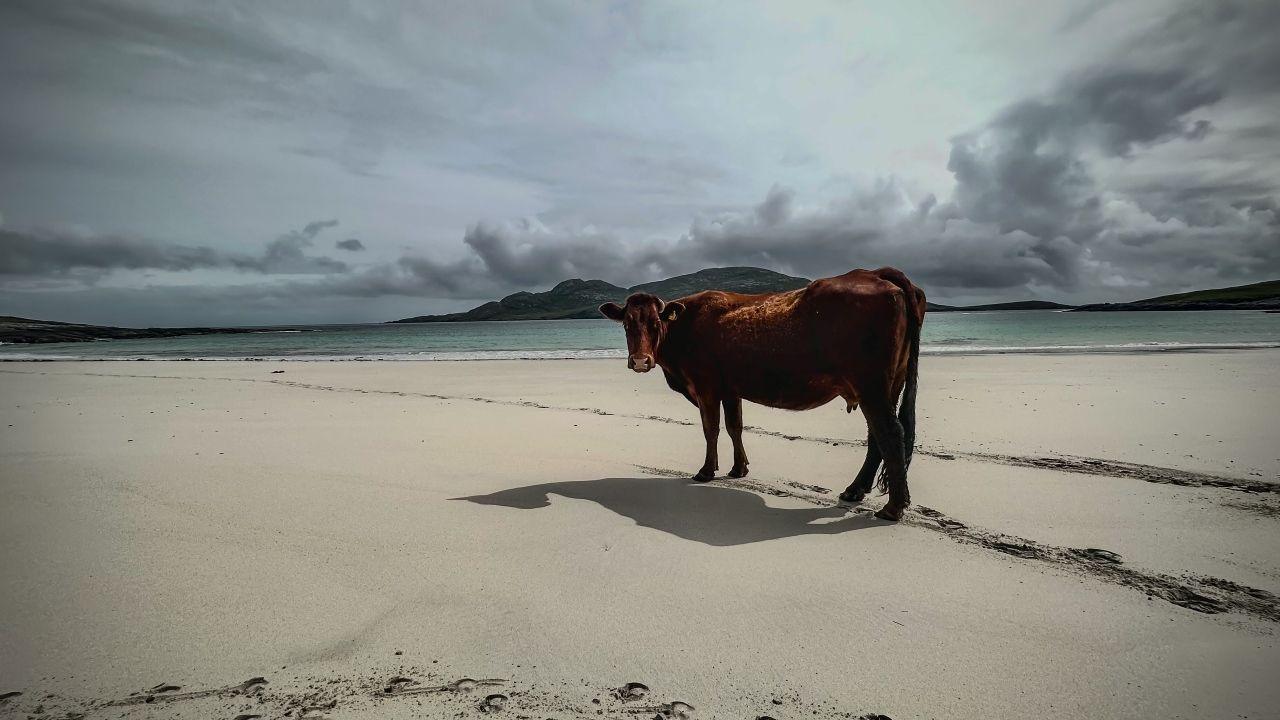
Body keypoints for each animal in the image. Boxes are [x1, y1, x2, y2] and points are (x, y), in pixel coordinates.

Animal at [599, 266, 921, 517]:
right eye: (626, 324)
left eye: (655, 323)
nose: (640, 361)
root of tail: (873, 272)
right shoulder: (730, 389)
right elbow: (735, 427)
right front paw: (738, 468)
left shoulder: (705, 387)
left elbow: (711, 429)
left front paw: (706, 470)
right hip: (887, 386)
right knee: (876, 437)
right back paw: (855, 491)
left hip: (872, 387)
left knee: (890, 433)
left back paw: (892, 508)